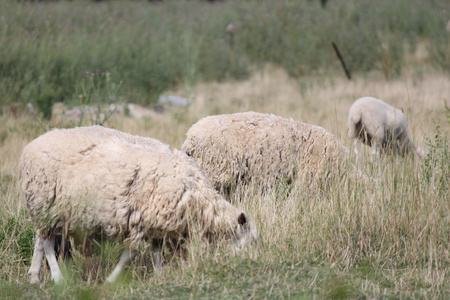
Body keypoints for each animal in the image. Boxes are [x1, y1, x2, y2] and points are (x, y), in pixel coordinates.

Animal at [18, 125, 256, 284]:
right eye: (252, 239)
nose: (249, 264)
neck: (197, 196)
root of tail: (30, 146)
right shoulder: (140, 221)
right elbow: (129, 254)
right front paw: (111, 280)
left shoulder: (157, 222)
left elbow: (156, 251)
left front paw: (159, 275)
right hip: (45, 204)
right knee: (47, 244)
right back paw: (57, 277)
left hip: (49, 209)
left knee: (41, 240)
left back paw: (35, 276)